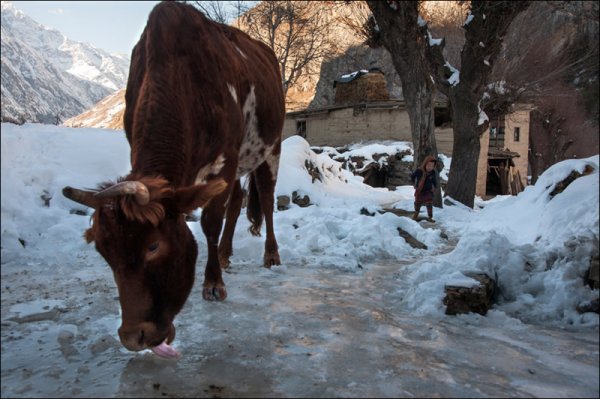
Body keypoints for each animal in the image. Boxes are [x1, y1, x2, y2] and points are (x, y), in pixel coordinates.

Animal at [62, 2, 284, 354]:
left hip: (271, 146)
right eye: (104, 252)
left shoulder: (225, 160)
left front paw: (213, 284)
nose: (134, 337)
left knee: (266, 195)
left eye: (153, 245)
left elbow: (210, 222)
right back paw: (225, 254)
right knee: (237, 200)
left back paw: (271, 254)